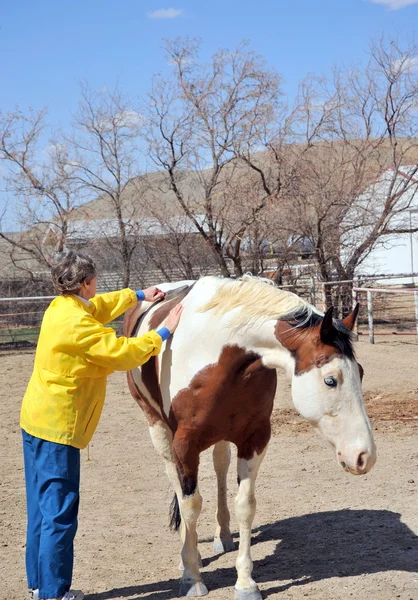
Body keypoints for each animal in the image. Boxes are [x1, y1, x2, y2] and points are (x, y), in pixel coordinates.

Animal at [123, 274, 376, 596]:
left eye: (361, 372)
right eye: (331, 380)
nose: (365, 456)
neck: (218, 353)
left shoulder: (254, 438)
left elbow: (245, 505)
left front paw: (245, 583)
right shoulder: (185, 444)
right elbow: (190, 504)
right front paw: (192, 576)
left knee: (220, 467)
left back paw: (223, 535)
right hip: (158, 428)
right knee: (177, 484)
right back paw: (187, 554)